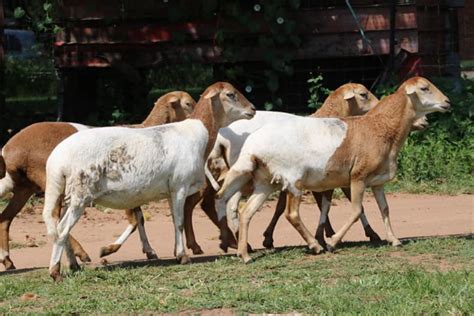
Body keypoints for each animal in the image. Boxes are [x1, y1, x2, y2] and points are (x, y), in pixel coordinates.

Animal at [0, 90, 194, 270]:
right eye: (188, 104)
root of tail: (8, 150)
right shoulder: (129, 188)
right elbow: (135, 220)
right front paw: (108, 250)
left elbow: (139, 219)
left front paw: (149, 251)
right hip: (51, 183)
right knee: (54, 219)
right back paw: (79, 255)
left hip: (25, 188)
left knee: (6, 219)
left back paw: (8, 260)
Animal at [40, 82, 256, 282]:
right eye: (231, 94)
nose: (253, 109)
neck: (199, 134)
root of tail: (56, 160)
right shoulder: (180, 186)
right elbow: (179, 222)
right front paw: (182, 256)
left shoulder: (171, 190)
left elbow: (175, 221)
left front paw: (176, 252)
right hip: (80, 194)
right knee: (62, 229)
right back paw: (55, 272)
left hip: (67, 194)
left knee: (59, 227)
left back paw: (72, 265)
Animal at [217, 76, 450, 262]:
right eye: (424, 88)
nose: (447, 102)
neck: (380, 127)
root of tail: (253, 146)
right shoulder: (357, 177)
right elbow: (356, 210)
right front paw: (332, 242)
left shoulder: (377, 182)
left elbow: (384, 209)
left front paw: (393, 239)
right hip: (293, 180)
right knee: (290, 214)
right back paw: (314, 246)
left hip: (265, 182)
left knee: (246, 212)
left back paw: (245, 254)